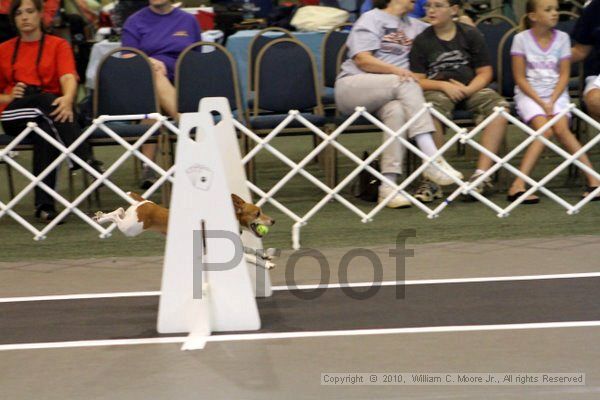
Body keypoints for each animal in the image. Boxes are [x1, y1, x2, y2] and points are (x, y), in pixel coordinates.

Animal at [93, 191, 276, 268]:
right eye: (257, 213)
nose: (273, 220)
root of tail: (144, 202)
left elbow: (251, 249)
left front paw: (265, 255)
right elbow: (250, 257)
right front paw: (267, 264)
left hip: (130, 222)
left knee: (120, 211)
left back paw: (100, 216)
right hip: (131, 228)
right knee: (117, 214)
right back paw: (100, 217)